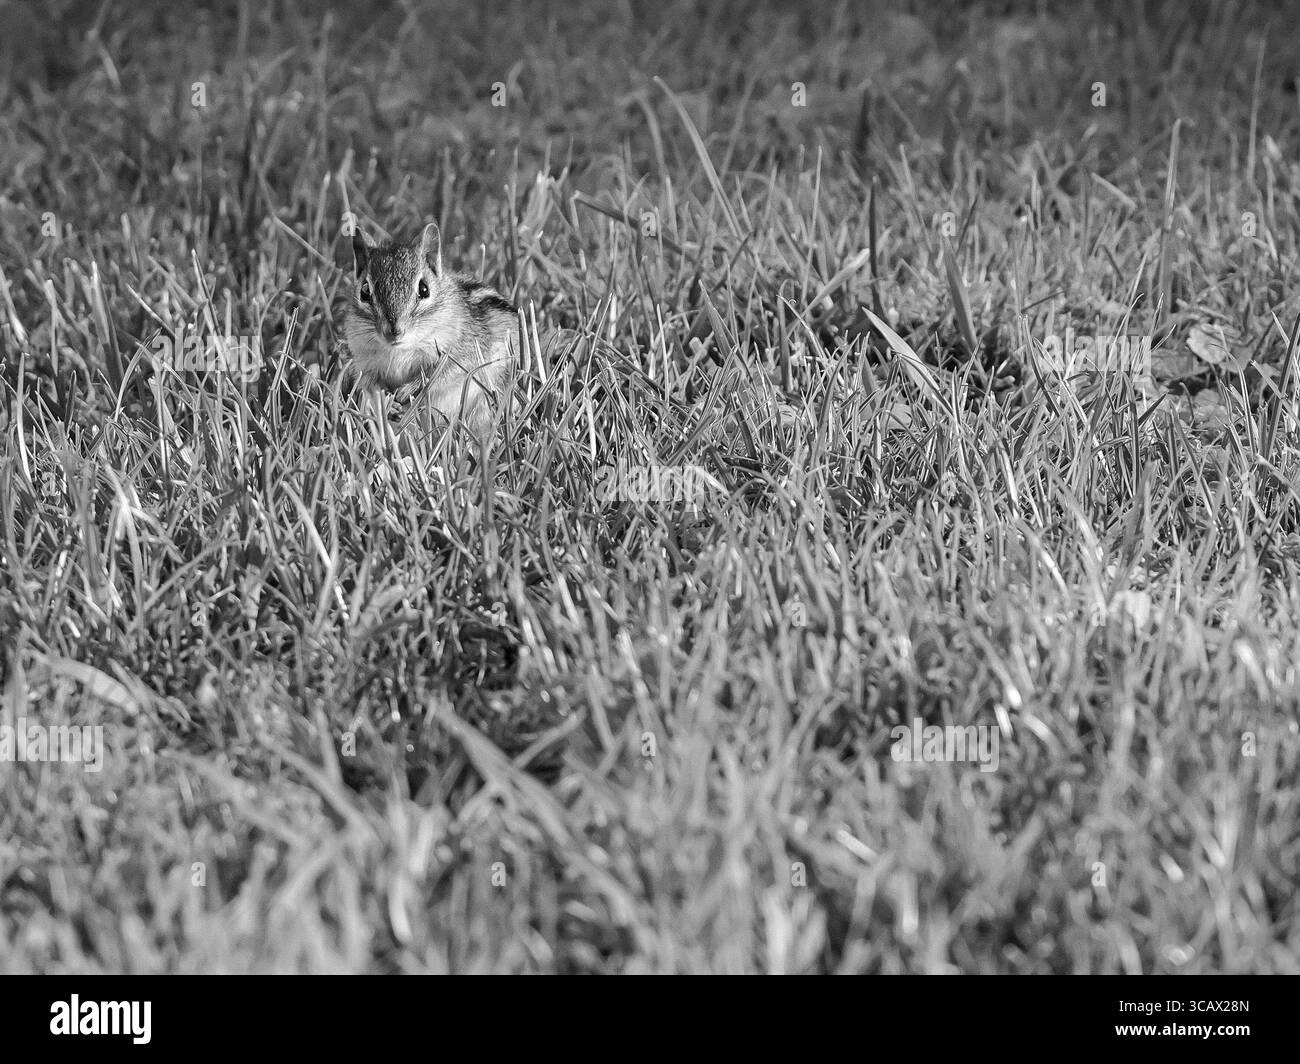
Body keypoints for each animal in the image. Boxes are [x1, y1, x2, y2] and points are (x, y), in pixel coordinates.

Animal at [344, 221, 517, 441]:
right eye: (365, 291)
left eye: (424, 289)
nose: (394, 331)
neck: (400, 349)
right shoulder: (364, 364)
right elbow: (371, 386)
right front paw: (388, 402)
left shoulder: (460, 354)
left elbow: (441, 374)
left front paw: (408, 390)